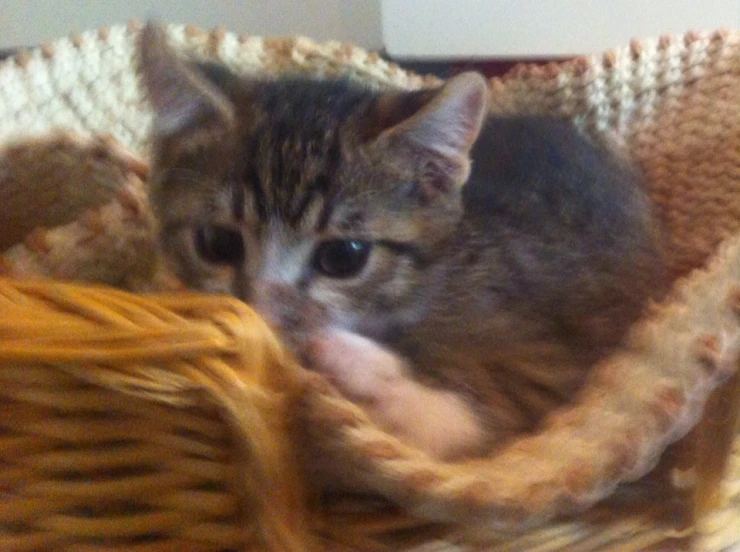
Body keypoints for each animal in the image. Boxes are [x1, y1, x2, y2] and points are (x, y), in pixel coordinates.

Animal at [139, 23, 664, 460]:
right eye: (216, 243)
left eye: (343, 257)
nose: (262, 315)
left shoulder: (552, 361)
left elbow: (460, 422)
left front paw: (351, 359)